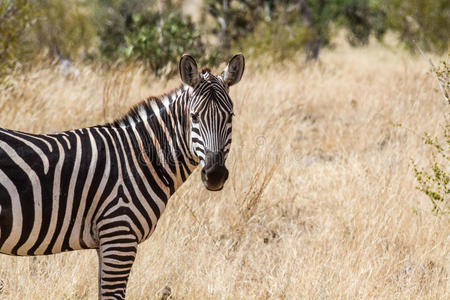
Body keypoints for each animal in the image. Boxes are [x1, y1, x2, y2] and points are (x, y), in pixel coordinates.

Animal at [0, 54, 246, 300]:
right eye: (194, 117)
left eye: (230, 116)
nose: (215, 175)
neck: (141, 157)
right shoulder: (119, 235)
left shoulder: (106, 241)